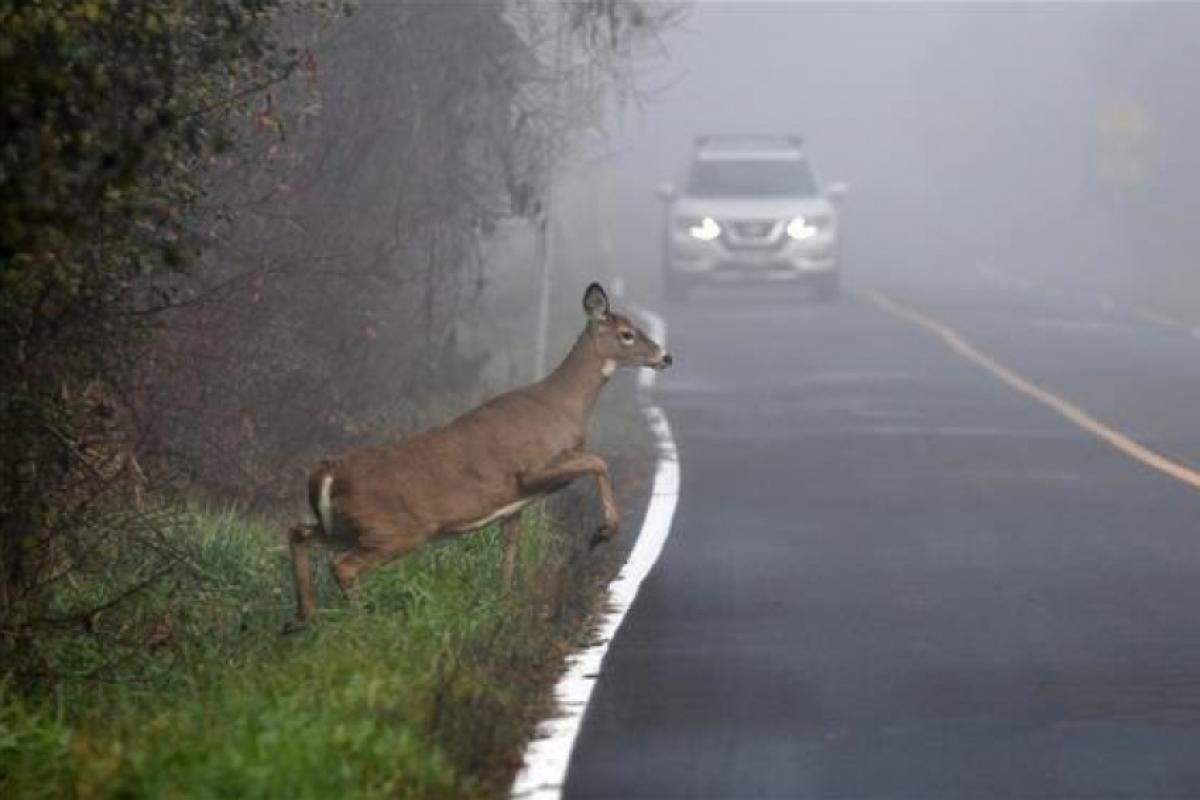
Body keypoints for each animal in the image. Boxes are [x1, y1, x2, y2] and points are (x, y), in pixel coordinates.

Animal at [285, 284, 672, 628]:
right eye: (627, 334)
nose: (665, 357)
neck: (564, 408)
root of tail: (327, 474)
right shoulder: (530, 470)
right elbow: (597, 461)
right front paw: (604, 532)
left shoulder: (516, 503)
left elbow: (510, 548)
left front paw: (506, 603)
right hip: (394, 529)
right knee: (342, 565)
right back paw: (363, 622)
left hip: (346, 526)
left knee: (300, 533)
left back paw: (303, 619)